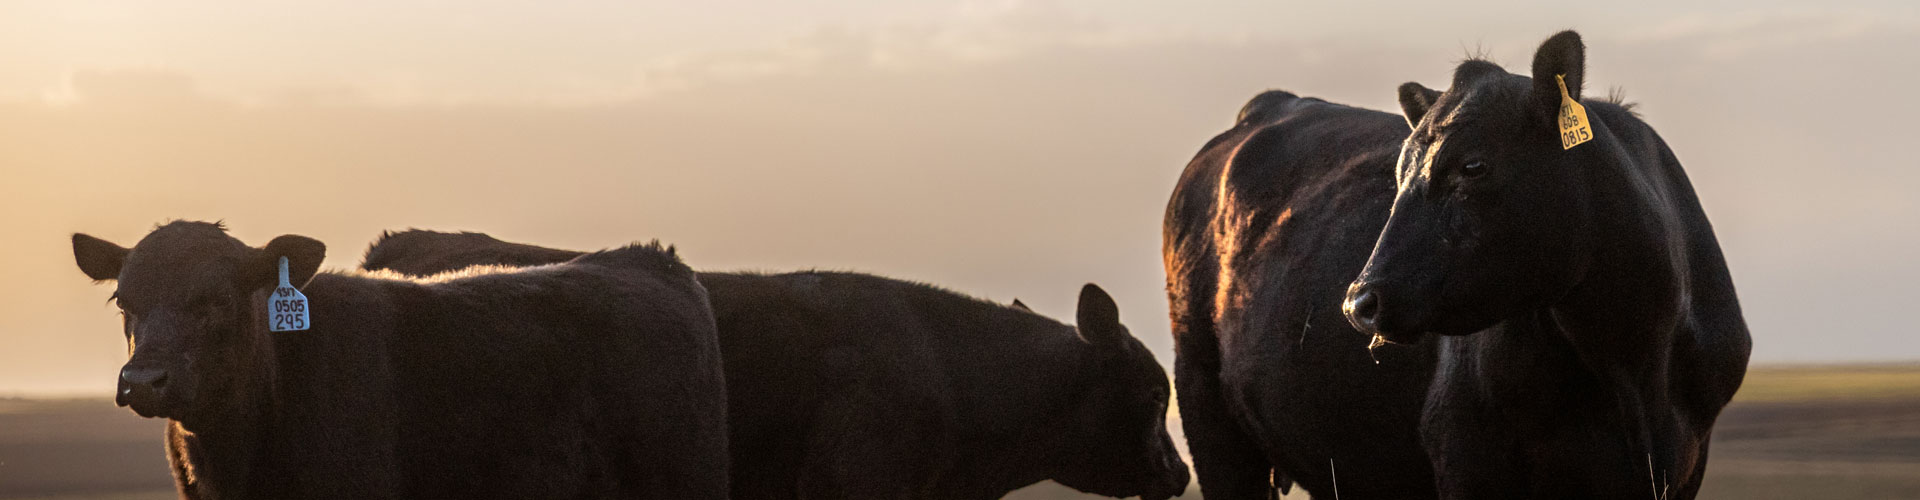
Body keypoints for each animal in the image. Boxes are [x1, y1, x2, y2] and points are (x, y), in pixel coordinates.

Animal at [1159, 31, 1751, 500]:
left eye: (1473, 166)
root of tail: (1268, 105)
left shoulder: (1684, 466)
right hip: (1204, 401)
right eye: (1398, 172)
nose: (1360, 302)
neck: (1633, 365)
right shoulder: (1467, 451)